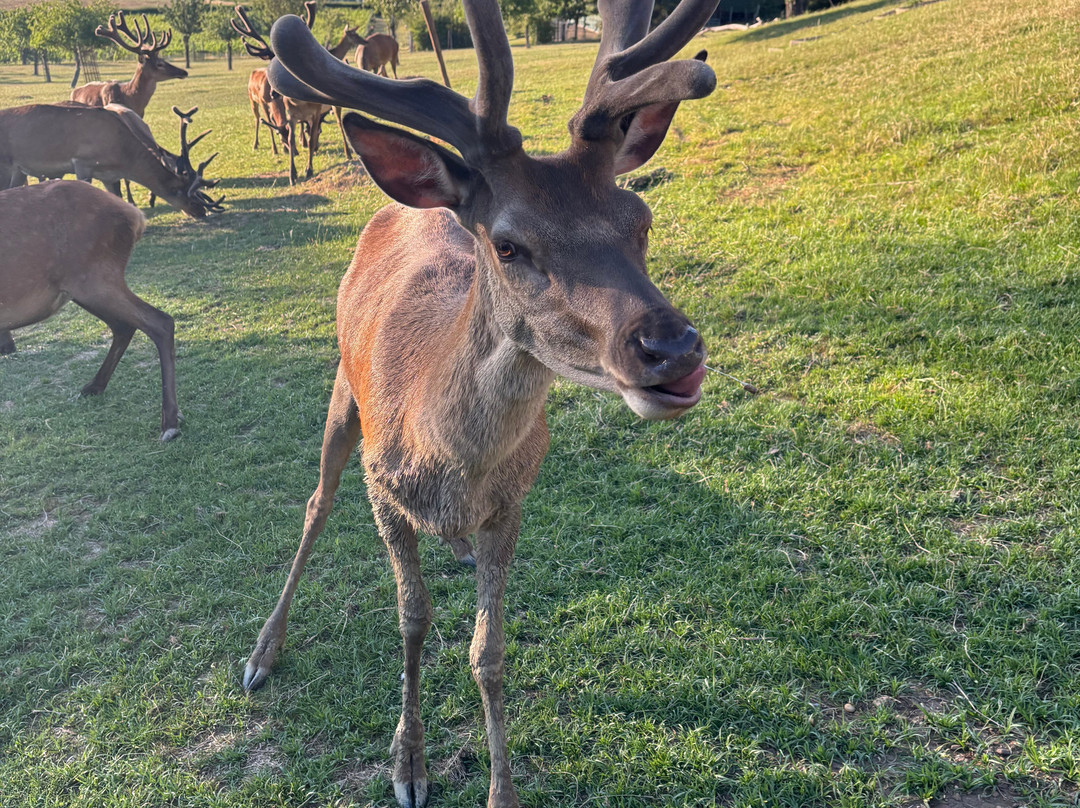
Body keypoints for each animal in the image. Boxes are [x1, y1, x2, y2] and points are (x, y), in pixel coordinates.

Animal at [0, 103, 223, 219]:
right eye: (178, 191)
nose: (201, 211)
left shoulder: (110, 176)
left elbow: (117, 197)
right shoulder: (82, 163)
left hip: (17, 170)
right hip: (6, 166)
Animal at [0, 180, 179, 441]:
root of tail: (137, 217)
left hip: (96, 278)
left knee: (160, 322)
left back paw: (169, 423)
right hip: (83, 288)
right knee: (124, 326)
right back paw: (93, 387)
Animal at [241, 0, 716, 805]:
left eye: (640, 218)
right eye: (509, 245)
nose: (672, 349)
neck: (446, 454)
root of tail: (415, 206)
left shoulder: (514, 503)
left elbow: (487, 650)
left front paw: (502, 788)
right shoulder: (382, 488)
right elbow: (412, 618)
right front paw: (408, 764)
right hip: (342, 398)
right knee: (314, 505)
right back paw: (263, 650)